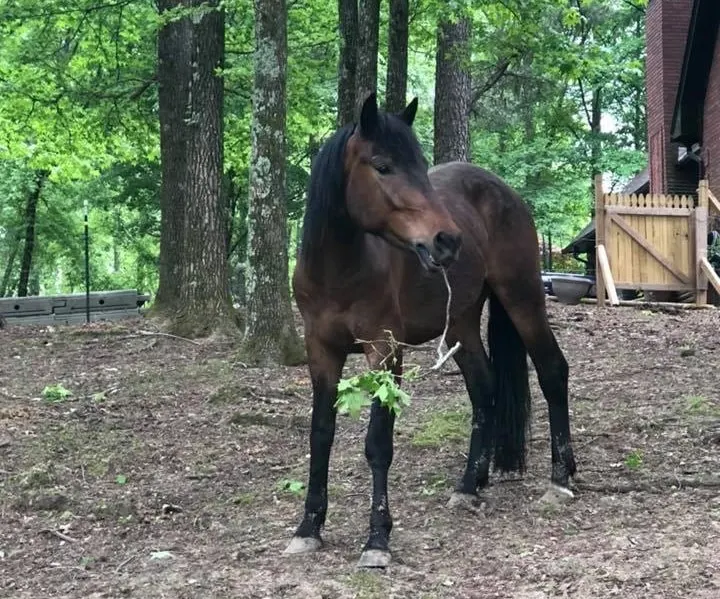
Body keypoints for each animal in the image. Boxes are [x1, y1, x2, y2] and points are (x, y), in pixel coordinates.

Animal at [284, 92, 576, 568]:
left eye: (421, 165)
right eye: (382, 165)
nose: (447, 240)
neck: (341, 268)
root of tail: (505, 192)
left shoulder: (384, 351)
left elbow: (378, 443)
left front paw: (377, 540)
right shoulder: (320, 352)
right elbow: (320, 435)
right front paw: (309, 527)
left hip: (523, 298)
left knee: (552, 371)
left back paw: (560, 479)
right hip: (461, 323)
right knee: (485, 389)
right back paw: (469, 485)